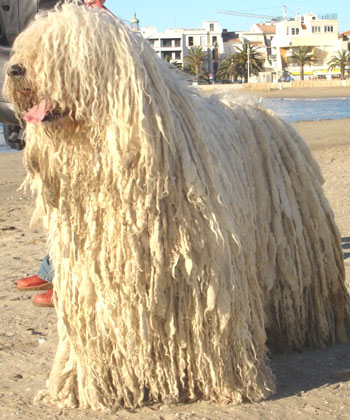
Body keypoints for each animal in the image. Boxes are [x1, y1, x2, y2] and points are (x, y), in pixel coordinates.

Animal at [3, 1, 350, 412]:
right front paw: (89, 386)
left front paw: (229, 382)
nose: (14, 69)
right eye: (26, 47)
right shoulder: (95, 274)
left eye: (60, 50)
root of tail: (267, 112)